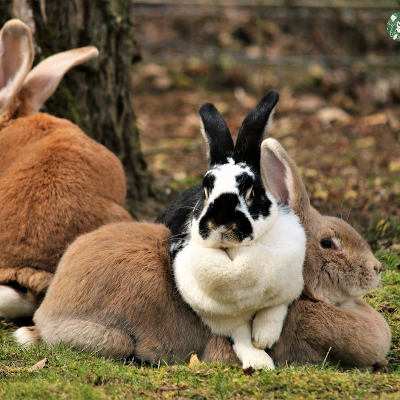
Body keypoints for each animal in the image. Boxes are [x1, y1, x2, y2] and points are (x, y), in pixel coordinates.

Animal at [159, 92, 306, 370]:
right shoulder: (221, 318)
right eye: (206, 189)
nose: (220, 221)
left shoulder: (289, 287)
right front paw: (259, 360)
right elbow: (240, 336)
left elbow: (274, 309)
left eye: (250, 191)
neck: (236, 256)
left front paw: (265, 336)